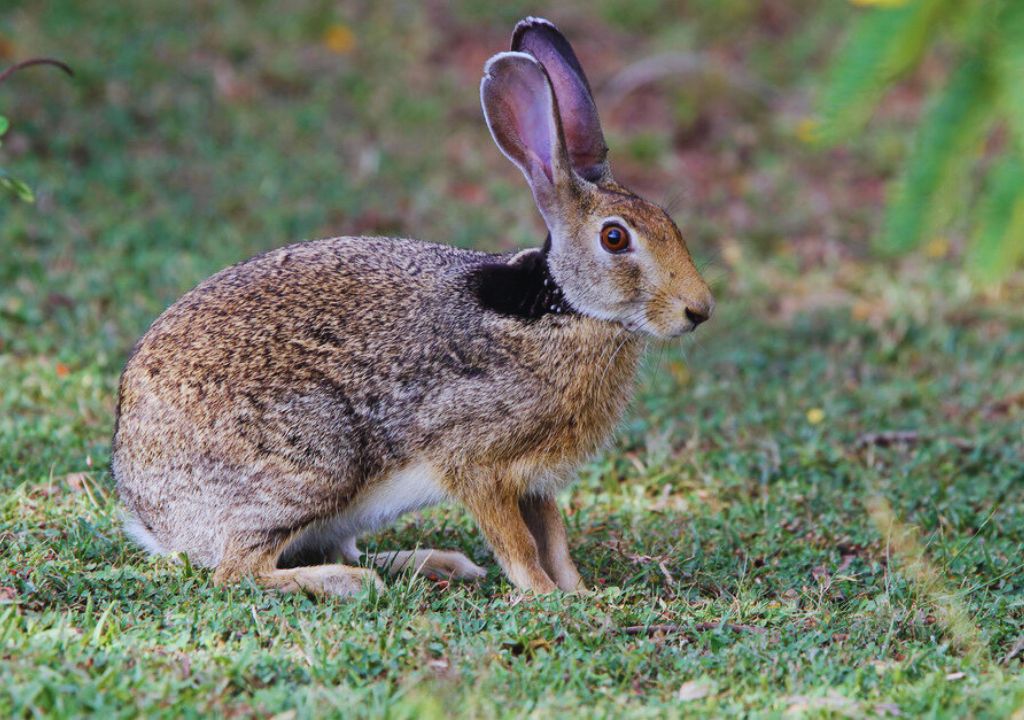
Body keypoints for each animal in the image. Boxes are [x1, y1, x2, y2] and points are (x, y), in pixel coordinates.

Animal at [112, 16, 715, 597]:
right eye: (615, 239)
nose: (699, 311)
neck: (563, 309)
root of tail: (149, 513)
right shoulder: (475, 460)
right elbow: (519, 543)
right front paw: (546, 596)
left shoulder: (533, 479)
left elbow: (554, 537)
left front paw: (579, 592)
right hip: (314, 461)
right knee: (239, 570)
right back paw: (351, 583)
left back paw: (439, 565)